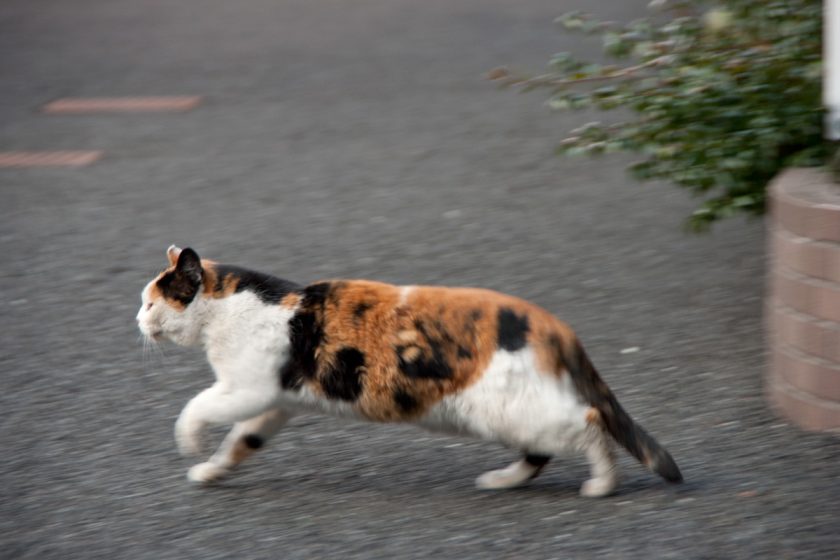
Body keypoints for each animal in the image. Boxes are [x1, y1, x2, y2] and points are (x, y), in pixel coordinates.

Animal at [136, 247, 684, 496]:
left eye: (150, 302)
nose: (135, 320)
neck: (231, 308)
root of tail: (554, 325)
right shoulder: (274, 403)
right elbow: (242, 441)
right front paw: (211, 470)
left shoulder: (246, 388)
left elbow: (195, 407)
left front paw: (189, 442)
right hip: (511, 412)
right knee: (544, 448)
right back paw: (503, 480)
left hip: (508, 409)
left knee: (588, 423)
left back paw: (601, 485)